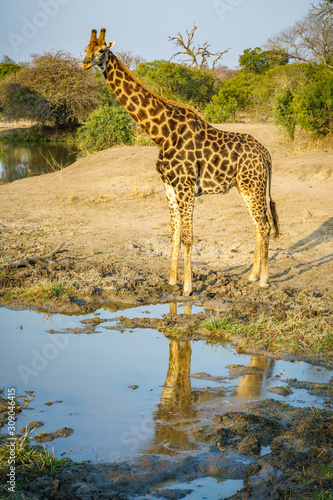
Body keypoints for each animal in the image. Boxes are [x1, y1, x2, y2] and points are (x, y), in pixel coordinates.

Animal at [82, 29, 278, 294]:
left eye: (102, 50)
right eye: (86, 49)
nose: (84, 64)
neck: (160, 134)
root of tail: (265, 152)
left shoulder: (185, 186)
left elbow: (187, 236)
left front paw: (187, 287)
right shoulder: (169, 185)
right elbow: (174, 233)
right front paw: (172, 281)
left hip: (253, 185)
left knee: (264, 224)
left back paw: (265, 279)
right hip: (245, 186)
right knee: (257, 224)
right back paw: (253, 275)